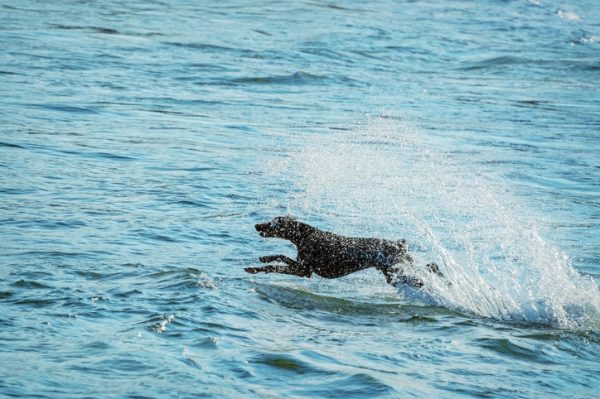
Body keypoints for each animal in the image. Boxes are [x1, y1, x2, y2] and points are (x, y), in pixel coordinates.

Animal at [244, 217, 440, 290]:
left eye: (273, 222)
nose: (257, 225)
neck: (306, 236)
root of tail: (400, 244)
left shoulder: (304, 270)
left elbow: (276, 263)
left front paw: (255, 268)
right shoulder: (302, 268)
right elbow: (278, 257)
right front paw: (262, 259)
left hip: (398, 269)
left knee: (429, 268)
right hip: (393, 272)